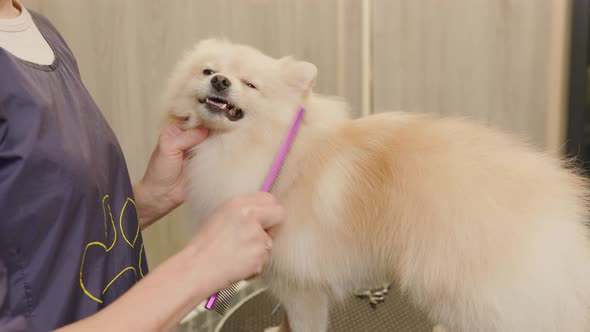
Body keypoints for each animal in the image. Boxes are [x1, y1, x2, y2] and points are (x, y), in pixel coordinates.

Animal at [164, 39, 590, 332]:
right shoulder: (283, 277)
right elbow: (284, 317)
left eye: (250, 85)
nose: (220, 81)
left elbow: (302, 323)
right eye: (206, 71)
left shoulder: (303, 285)